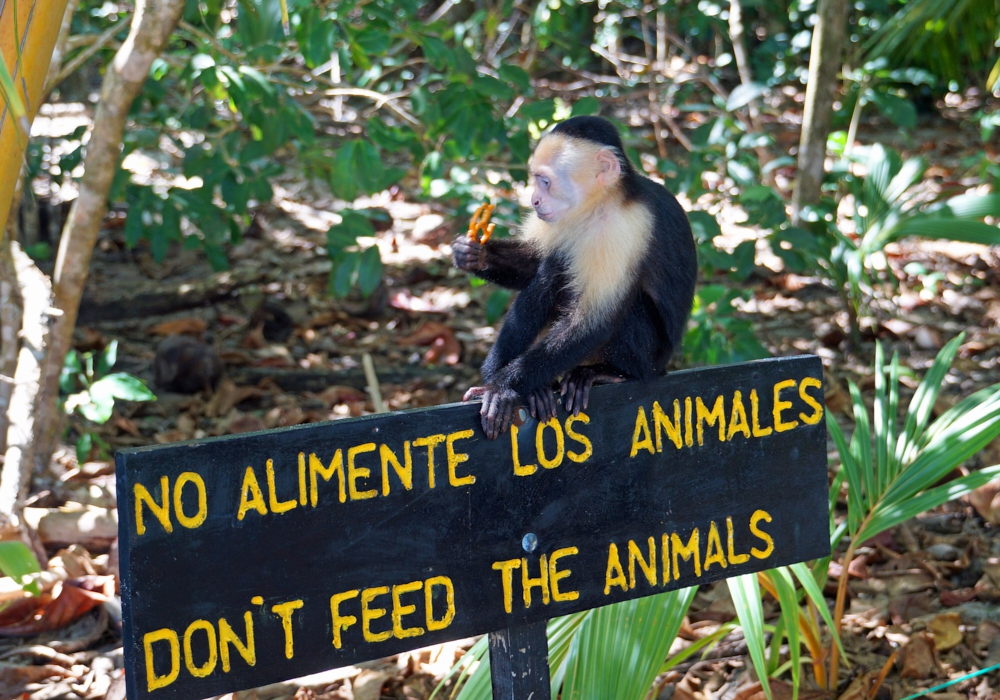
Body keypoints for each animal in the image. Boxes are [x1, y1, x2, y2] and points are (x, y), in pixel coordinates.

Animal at [454, 117, 696, 440]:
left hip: (650, 359)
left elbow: (594, 321)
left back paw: (613, 374)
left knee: (625, 307)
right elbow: (533, 265)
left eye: (545, 181)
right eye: (536, 181)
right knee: (554, 267)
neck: (598, 205)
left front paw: (502, 386)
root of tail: (664, 366)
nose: (534, 200)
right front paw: (474, 254)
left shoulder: (626, 227)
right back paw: (532, 387)